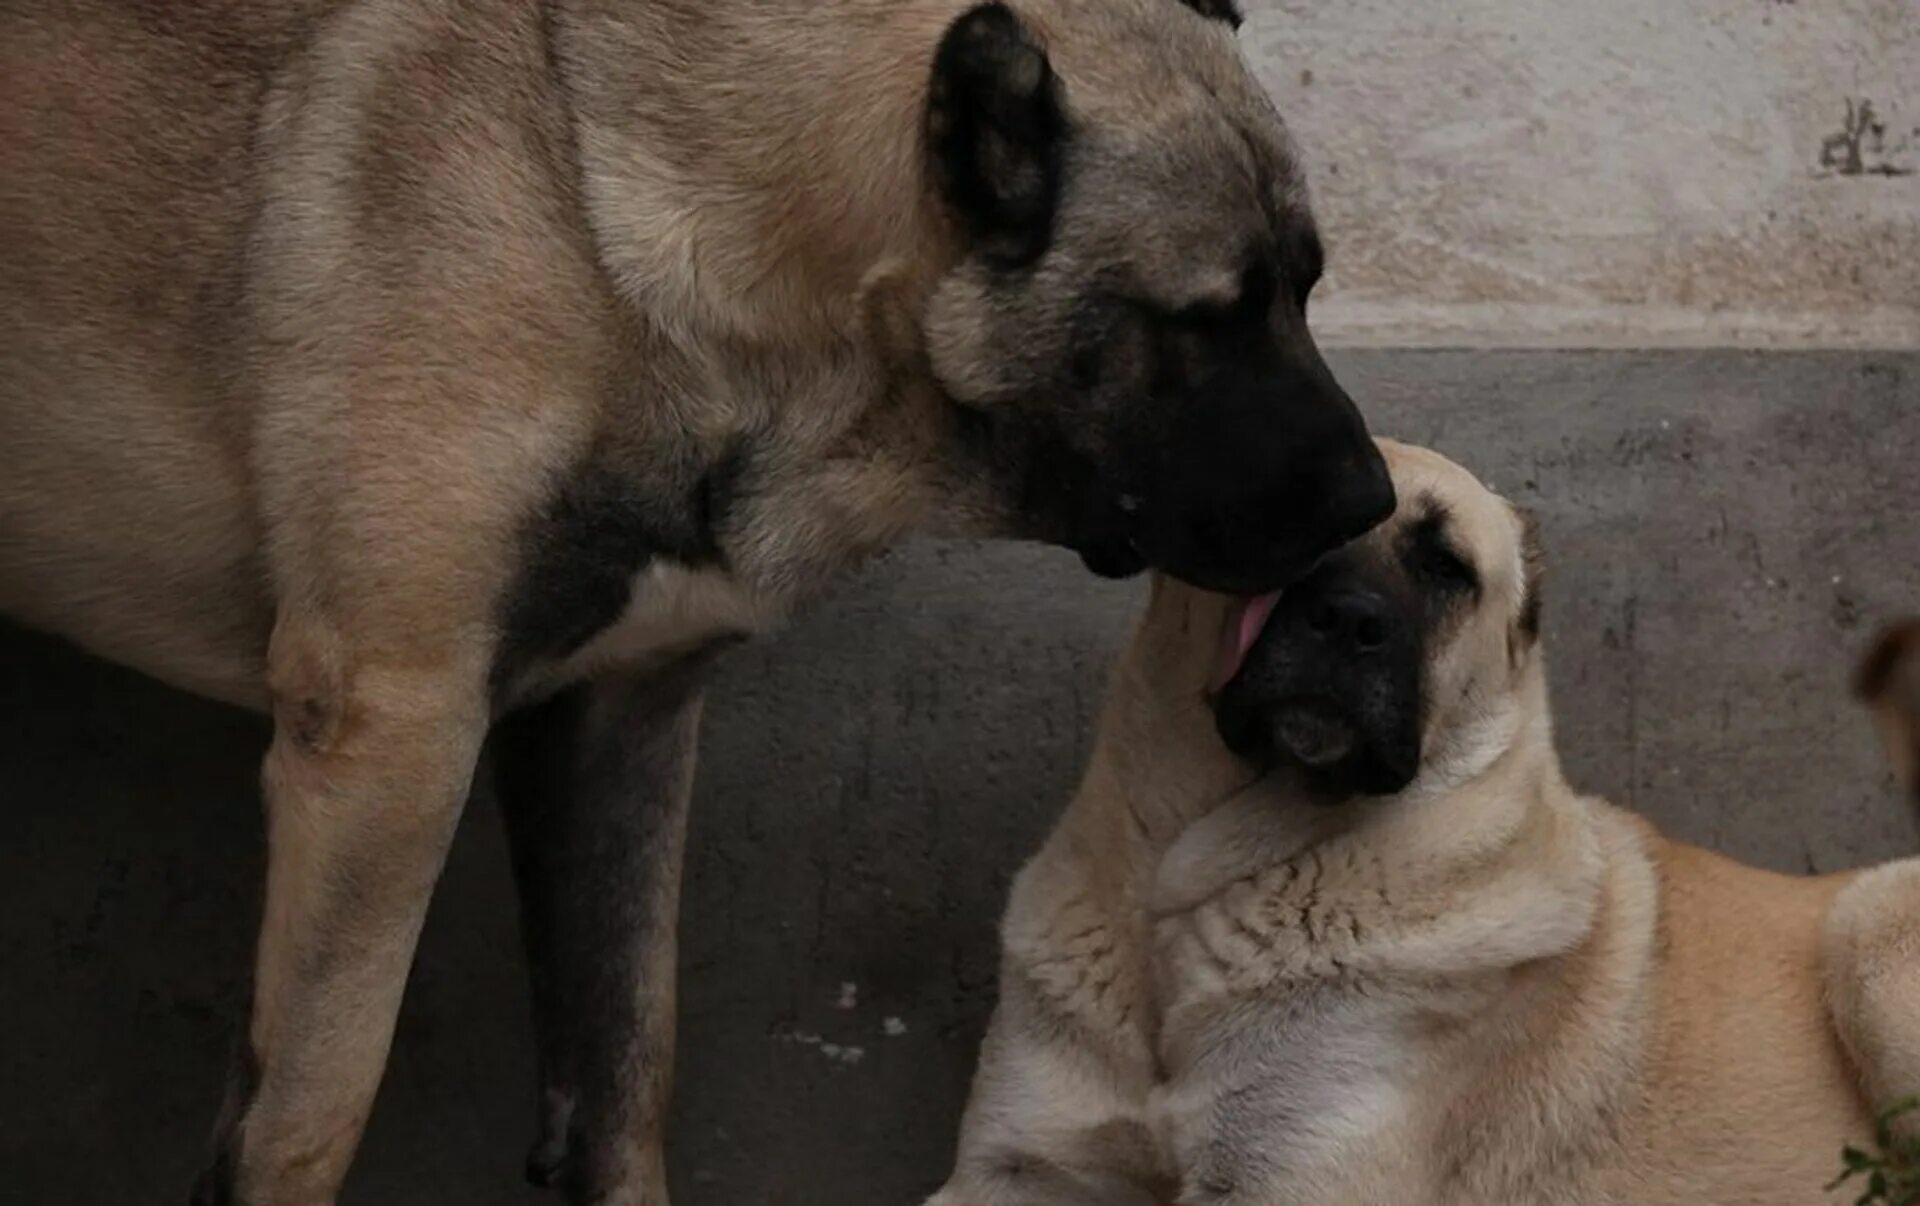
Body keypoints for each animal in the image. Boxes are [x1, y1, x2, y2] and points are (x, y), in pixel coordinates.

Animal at [0, 2, 1390, 1206]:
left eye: (1308, 287)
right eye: (1206, 317)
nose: (1374, 503)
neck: (607, 233)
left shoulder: (618, 723)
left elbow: (626, 1064)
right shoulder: (389, 753)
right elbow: (308, 1117)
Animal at [929, 443, 1920, 1206]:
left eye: (1446, 570)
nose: (1345, 622)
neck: (1183, 905)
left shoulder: (1290, 1181)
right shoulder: (1012, 1172)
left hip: (1870, 929)